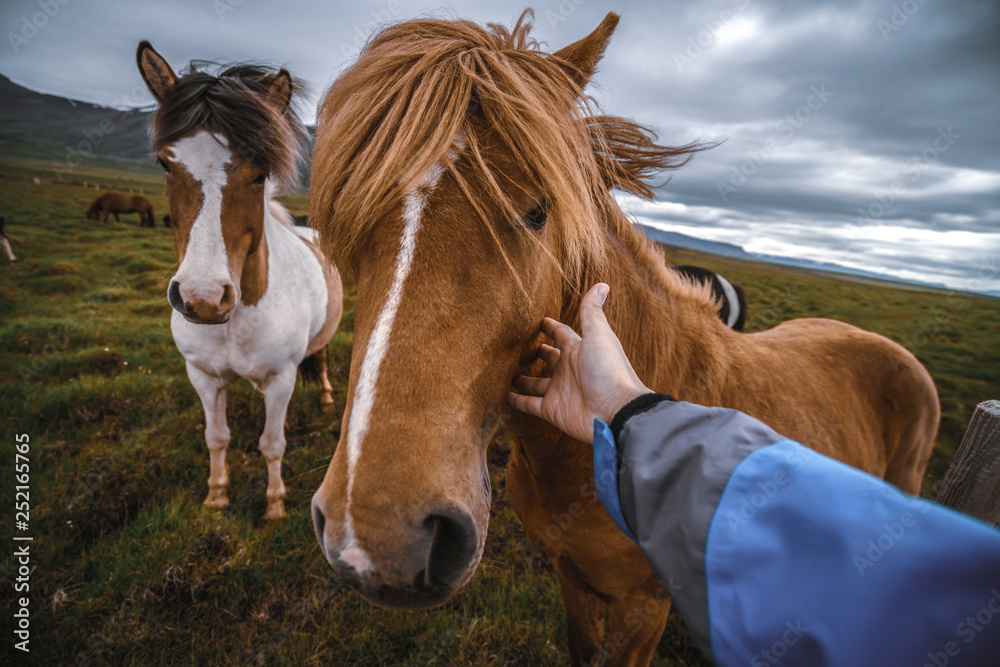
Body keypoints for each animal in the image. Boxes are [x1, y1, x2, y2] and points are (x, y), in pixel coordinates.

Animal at [136, 40, 344, 520]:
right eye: (165, 163)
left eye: (260, 173)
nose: (203, 297)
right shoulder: (202, 377)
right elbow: (217, 437)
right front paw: (216, 496)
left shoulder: (282, 381)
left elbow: (272, 444)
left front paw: (274, 505)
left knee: (322, 357)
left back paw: (326, 396)